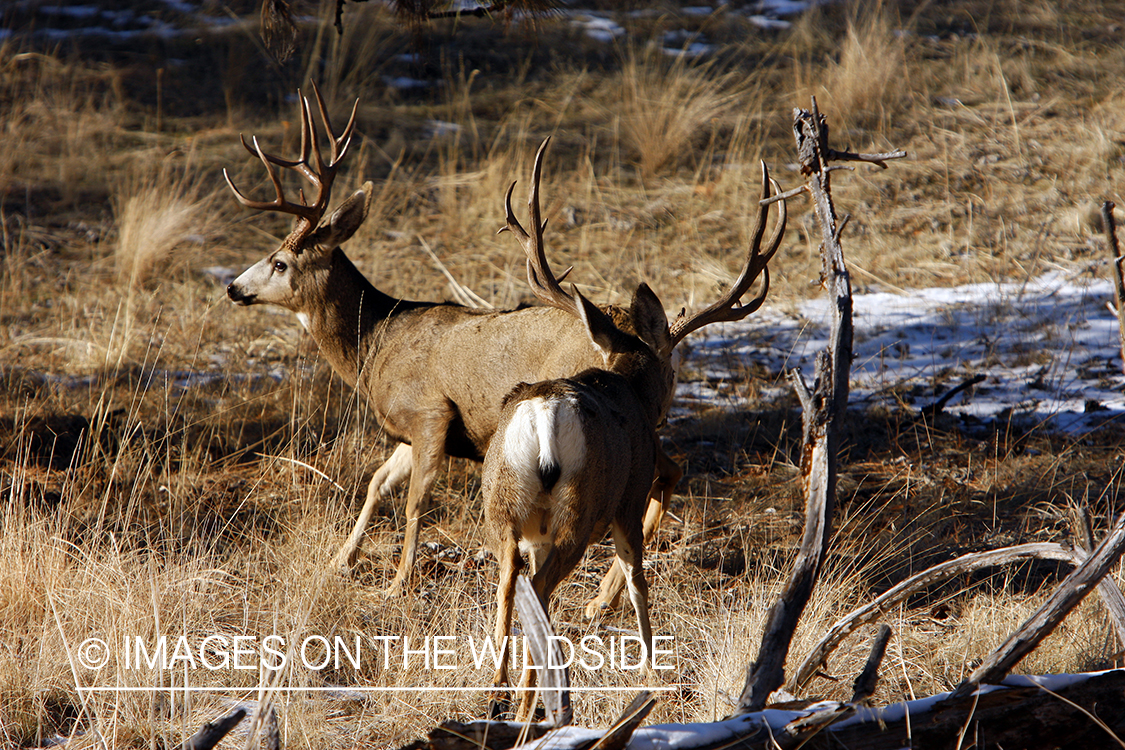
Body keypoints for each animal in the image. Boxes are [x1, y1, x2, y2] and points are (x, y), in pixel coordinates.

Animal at [224, 83, 785, 600]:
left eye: (280, 262)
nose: (232, 287)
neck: (376, 342)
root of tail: (654, 340)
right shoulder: (412, 434)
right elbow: (376, 482)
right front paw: (341, 561)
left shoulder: (430, 414)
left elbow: (415, 500)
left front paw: (398, 581)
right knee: (668, 471)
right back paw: (604, 596)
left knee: (662, 472)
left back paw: (601, 598)